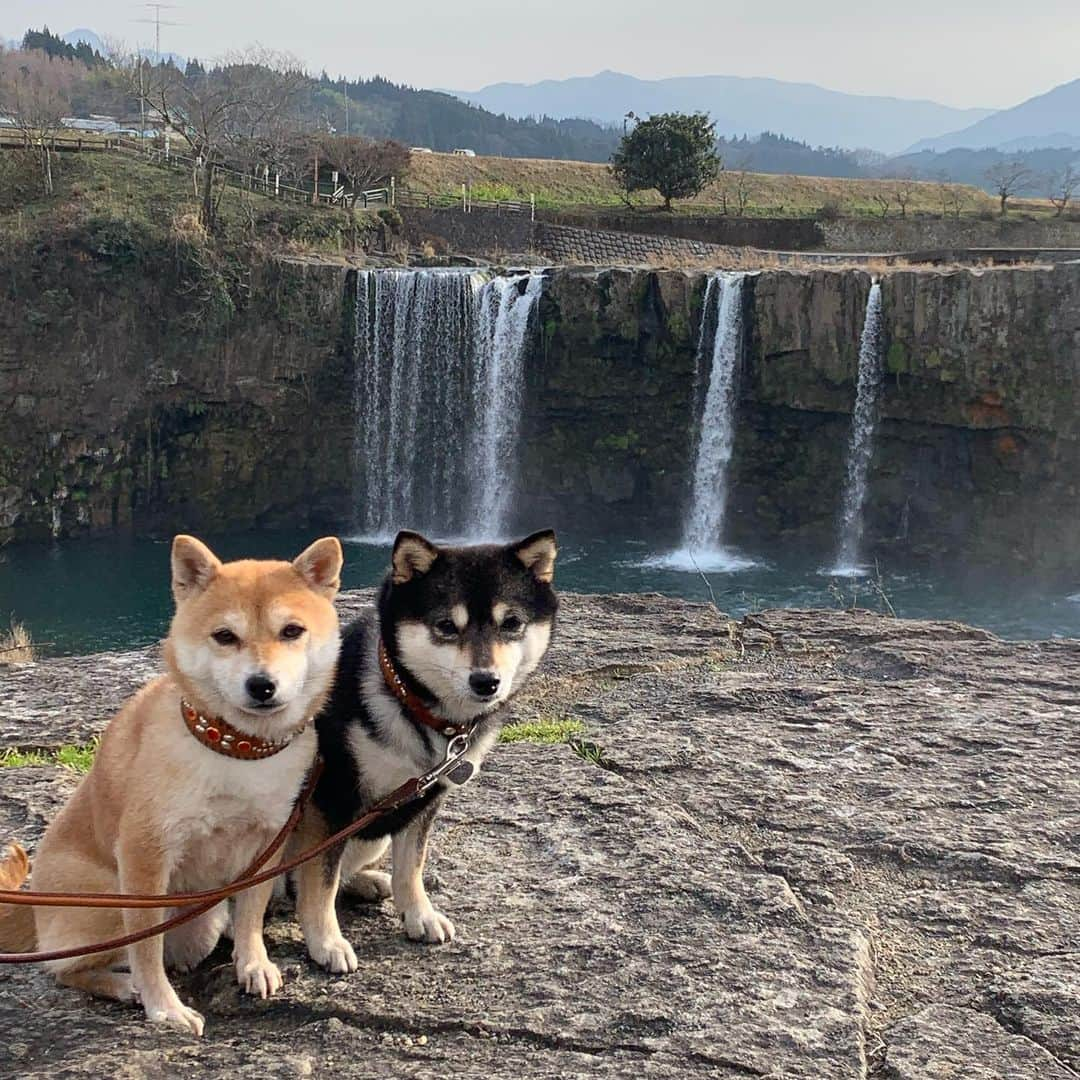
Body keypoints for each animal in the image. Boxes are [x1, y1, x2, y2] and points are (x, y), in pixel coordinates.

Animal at [0, 535, 341, 1032]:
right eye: (225, 636)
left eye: (292, 631)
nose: (262, 684)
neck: (234, 749)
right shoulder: (145, 852)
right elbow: (146, 949)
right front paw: (163, 1006)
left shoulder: (267, 843)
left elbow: (251, 915)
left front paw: (253, 963)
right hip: (106, 902)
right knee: (66, 968)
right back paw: (123, 987)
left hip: (202, 923)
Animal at [293, 524, 557, 972]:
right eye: (446, 625)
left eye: (512, 623)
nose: (486, 681)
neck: (415, 708)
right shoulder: (332, 797)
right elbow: (320, 881)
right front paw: (326, 942)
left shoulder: (423, 799)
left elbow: (411, 867)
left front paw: (419, 914)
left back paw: (366, 881)